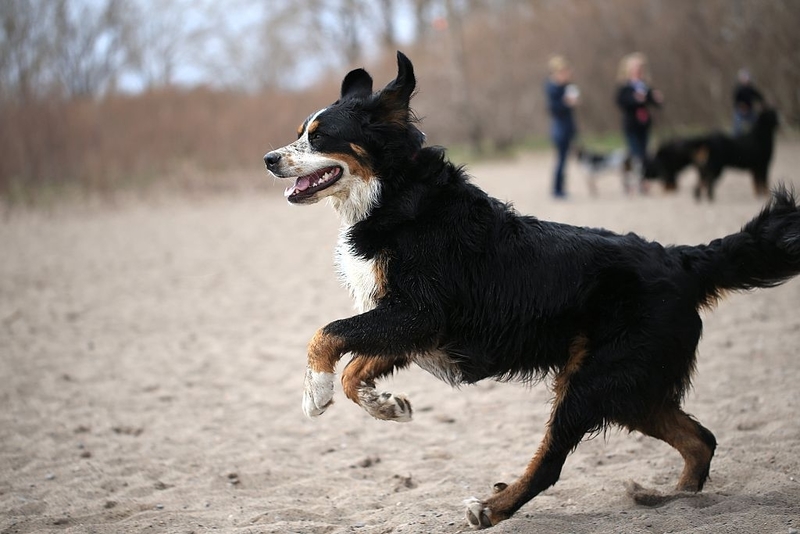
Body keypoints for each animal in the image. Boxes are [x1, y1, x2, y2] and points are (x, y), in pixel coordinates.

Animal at [264, 52, 800, 528]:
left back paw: (493, 508)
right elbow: (355, 368)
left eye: (321, 136)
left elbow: (327, 334)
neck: (396, 198)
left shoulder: (419, 313)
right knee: (700, 440)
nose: (269, 159)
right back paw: (676, 501)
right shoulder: (408, 326)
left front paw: (315, 393)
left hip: (593, 383)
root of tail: (680, 260)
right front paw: (387, 406)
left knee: (552, 462)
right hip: (632, 389)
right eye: (300, 133)